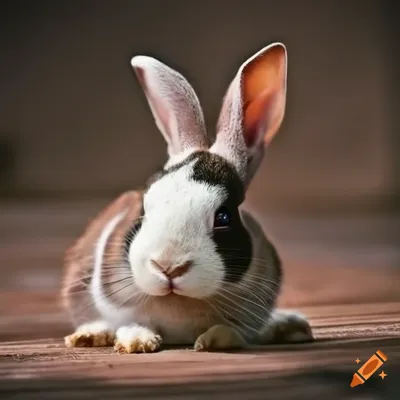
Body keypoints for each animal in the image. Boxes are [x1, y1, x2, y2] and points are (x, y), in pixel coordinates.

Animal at [61, 42, 312, 354]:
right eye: (145, 207)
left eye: (223, 217)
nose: (169, 267)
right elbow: (131, 323)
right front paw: (137, 342)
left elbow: (231, 331)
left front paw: (214, 340)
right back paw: (89, 335)